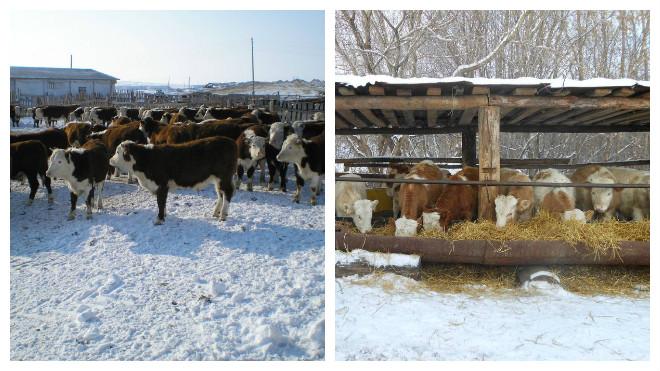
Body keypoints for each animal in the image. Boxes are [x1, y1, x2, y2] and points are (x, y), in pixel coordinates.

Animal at [109, 137, 238, 224]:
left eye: (117, 152)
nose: (110, 160)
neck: (147, 159)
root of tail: (230, 141)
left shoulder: (161, 185)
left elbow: (160, 202)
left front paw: (159, 219)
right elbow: (163, 203)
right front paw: (164, 215)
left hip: (224, 177)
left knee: (227, 192)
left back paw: (223, 215)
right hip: (217, 179)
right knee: (220, 194)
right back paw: (216, 212)